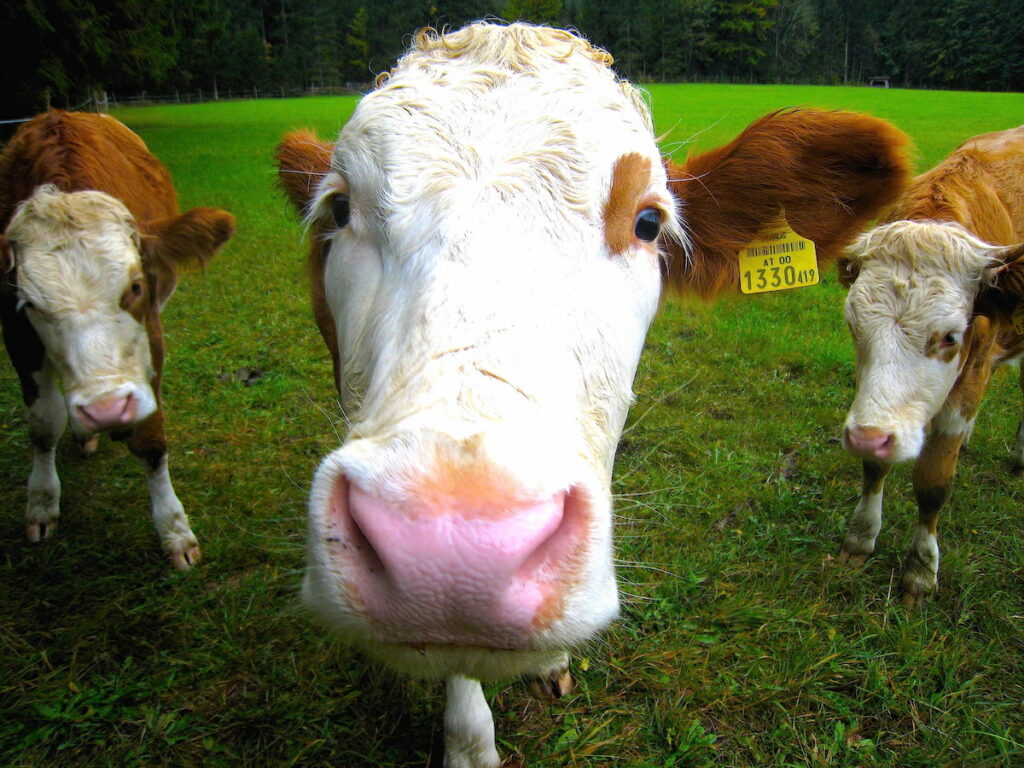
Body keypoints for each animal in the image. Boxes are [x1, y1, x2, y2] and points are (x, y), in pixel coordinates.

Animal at [0, 112, 234, 573]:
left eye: (136, 286)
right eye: (31, 304)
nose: (106, 409)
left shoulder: (151, 332)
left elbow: (151, 436)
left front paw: (174, 530)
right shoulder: (16, 334)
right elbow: (43, 425)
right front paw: (41, 503)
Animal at [835, 124, 1024, 606]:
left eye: (950, 337)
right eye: (853, 325)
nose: (867, 438)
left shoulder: (970, 373)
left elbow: (934, 481)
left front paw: (920, 570)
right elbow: (875, 467)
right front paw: (860, 538)